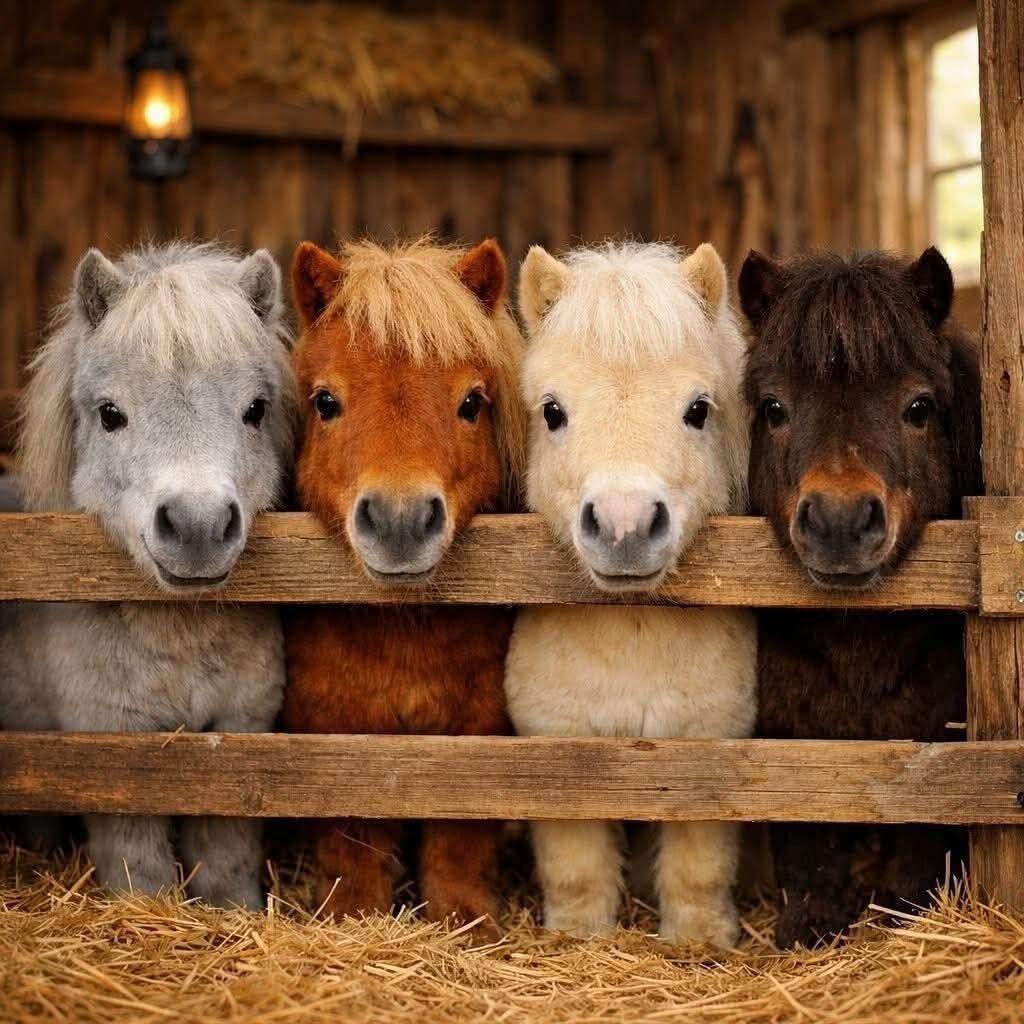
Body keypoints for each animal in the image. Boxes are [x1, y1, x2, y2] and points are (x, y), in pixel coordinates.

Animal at [1, 242, 296, 907]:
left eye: (255, 410)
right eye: (110, 414)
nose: (197, 525)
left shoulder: (241, 730)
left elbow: (227, 860)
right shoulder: (115, 748)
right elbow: (142, 869)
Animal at [282, 236, 526, 933]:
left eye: (471, 402)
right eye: (326, 401)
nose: (399, 519)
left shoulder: (481, 729)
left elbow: (458, 840)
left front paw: (464, 924)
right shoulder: (330, 730)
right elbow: (352, 841)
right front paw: (354, 918)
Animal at [504, 241, 756, 948]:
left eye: (698, 409)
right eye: (552, 411)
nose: (625, 526)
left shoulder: (708, 748)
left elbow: (699, 869)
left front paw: (699, 943)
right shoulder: (557, 749)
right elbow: (577, 871)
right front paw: (576, 938)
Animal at [738, 246, 980, 948]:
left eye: (919, 407)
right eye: (774, 408)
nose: (840, 521)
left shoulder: (936, 733)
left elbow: (920, 836)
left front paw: (906, 916)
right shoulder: (789, 727)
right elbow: (808, 842)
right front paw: (810, 926)